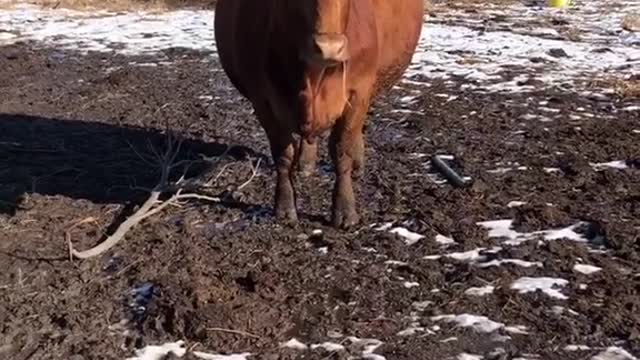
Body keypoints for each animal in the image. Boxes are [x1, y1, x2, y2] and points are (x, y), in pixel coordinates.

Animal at [215, 0, 424, 228]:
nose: (329, 47)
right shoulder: (261, 99)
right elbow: (283, 154)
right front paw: (284, 207)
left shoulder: (359, 92)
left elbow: (342, 149)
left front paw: (345, 210)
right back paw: (306, 164)